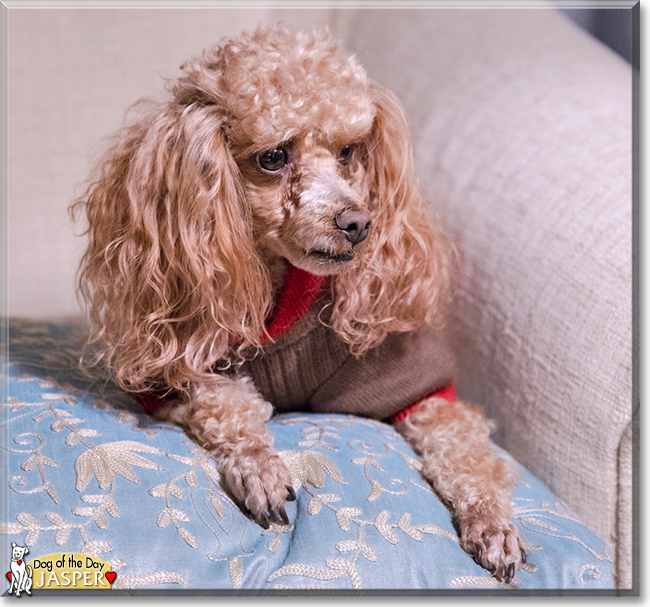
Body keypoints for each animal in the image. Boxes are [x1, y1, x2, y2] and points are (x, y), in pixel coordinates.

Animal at [73, 26, 524, 580]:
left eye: (349, 150)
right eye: (273, 157)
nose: (358, 223)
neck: (283, 287)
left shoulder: (417, 388)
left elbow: (464, 449)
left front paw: (492, 519)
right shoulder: (171, 374)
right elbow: (224, 403)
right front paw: (260, 467)